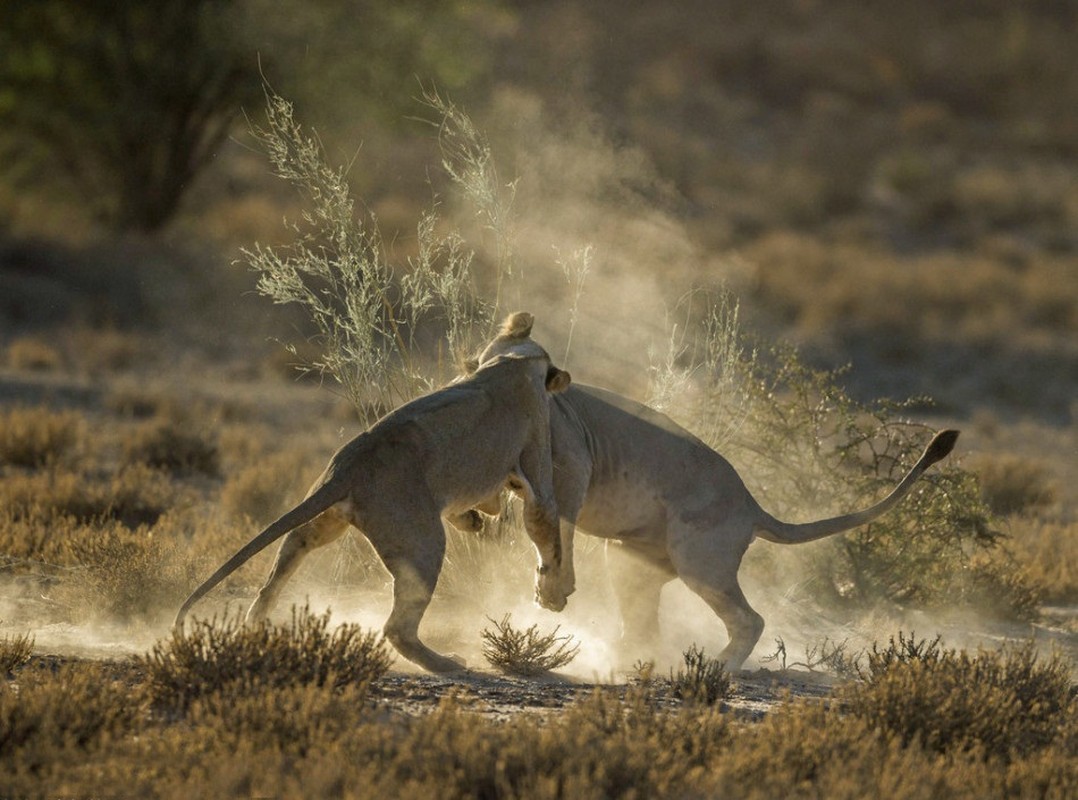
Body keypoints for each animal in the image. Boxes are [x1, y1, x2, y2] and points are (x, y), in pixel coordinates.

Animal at [170, 312, 573, 677]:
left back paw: (257, 630)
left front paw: (472, 520)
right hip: (422, 543)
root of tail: (349, 467)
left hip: (319, 524)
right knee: (397, 627)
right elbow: (546, 530)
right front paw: (553, 595)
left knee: (270, 584)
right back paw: (448, 664)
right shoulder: (536, 463)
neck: (511, 358)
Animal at [463, 345, 961, 668]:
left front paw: (552, 590)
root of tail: (752, 506)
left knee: (750, 620)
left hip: (700, 560)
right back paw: (626, 661)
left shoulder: (573, 467)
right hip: (630, 558)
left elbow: (556, 532)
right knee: (645, 623)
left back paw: (716, 669)